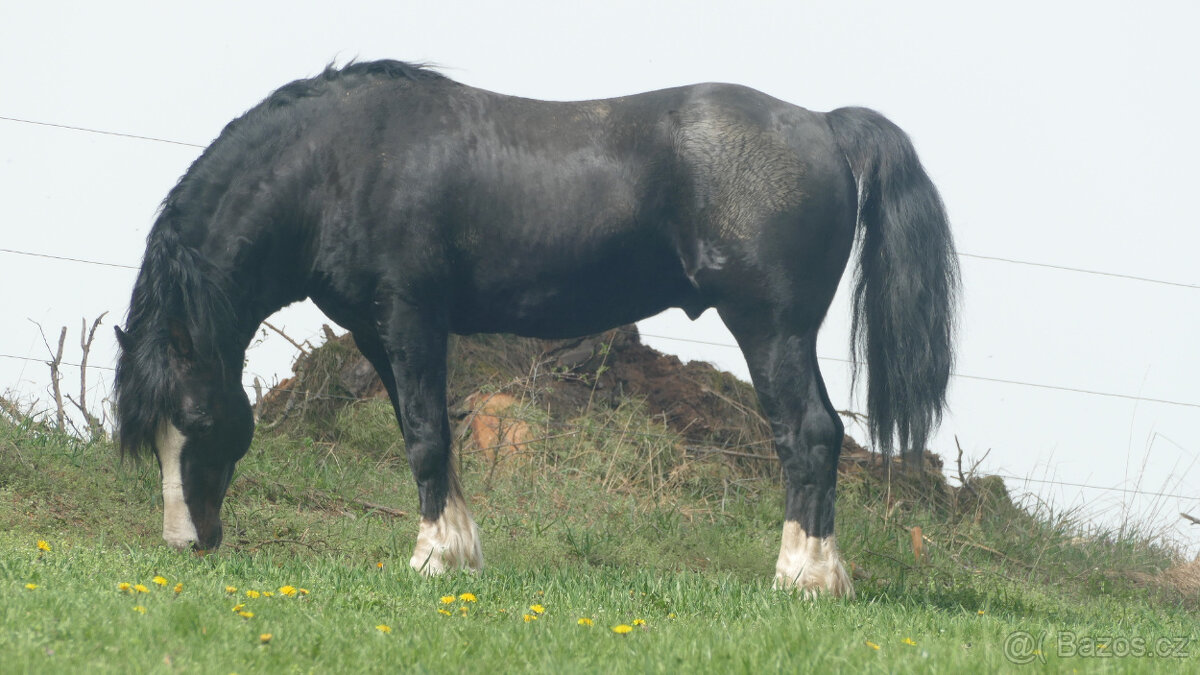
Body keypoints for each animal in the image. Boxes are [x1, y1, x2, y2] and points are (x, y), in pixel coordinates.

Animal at [114, 60, 957, 598]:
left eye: (195, 419)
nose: (185, 543)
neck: (341, 160)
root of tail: (822, 124)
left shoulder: (412, 315)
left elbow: (426, 435)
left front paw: (433, 558)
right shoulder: (380, 331)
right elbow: (424, 431)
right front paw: (458, 549)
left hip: (771, 328)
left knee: (807, 434)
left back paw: (806, 578)